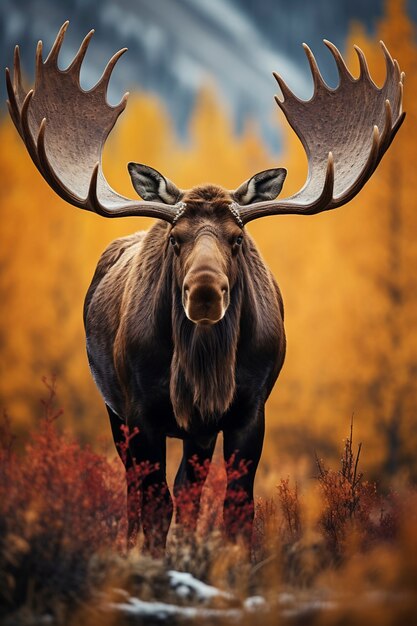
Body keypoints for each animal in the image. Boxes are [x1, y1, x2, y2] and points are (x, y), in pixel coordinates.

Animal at [6, 22, 404, 552]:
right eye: (176, 238)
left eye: (237, 238)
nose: (205, 294)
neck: (202, 368)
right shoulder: (139, 409)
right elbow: (155, 502)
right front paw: (152, 557)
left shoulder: (249, 411)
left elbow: (235, 506)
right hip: (115, 410)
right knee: (137, 489)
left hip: (196, 431)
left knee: (188, 489)